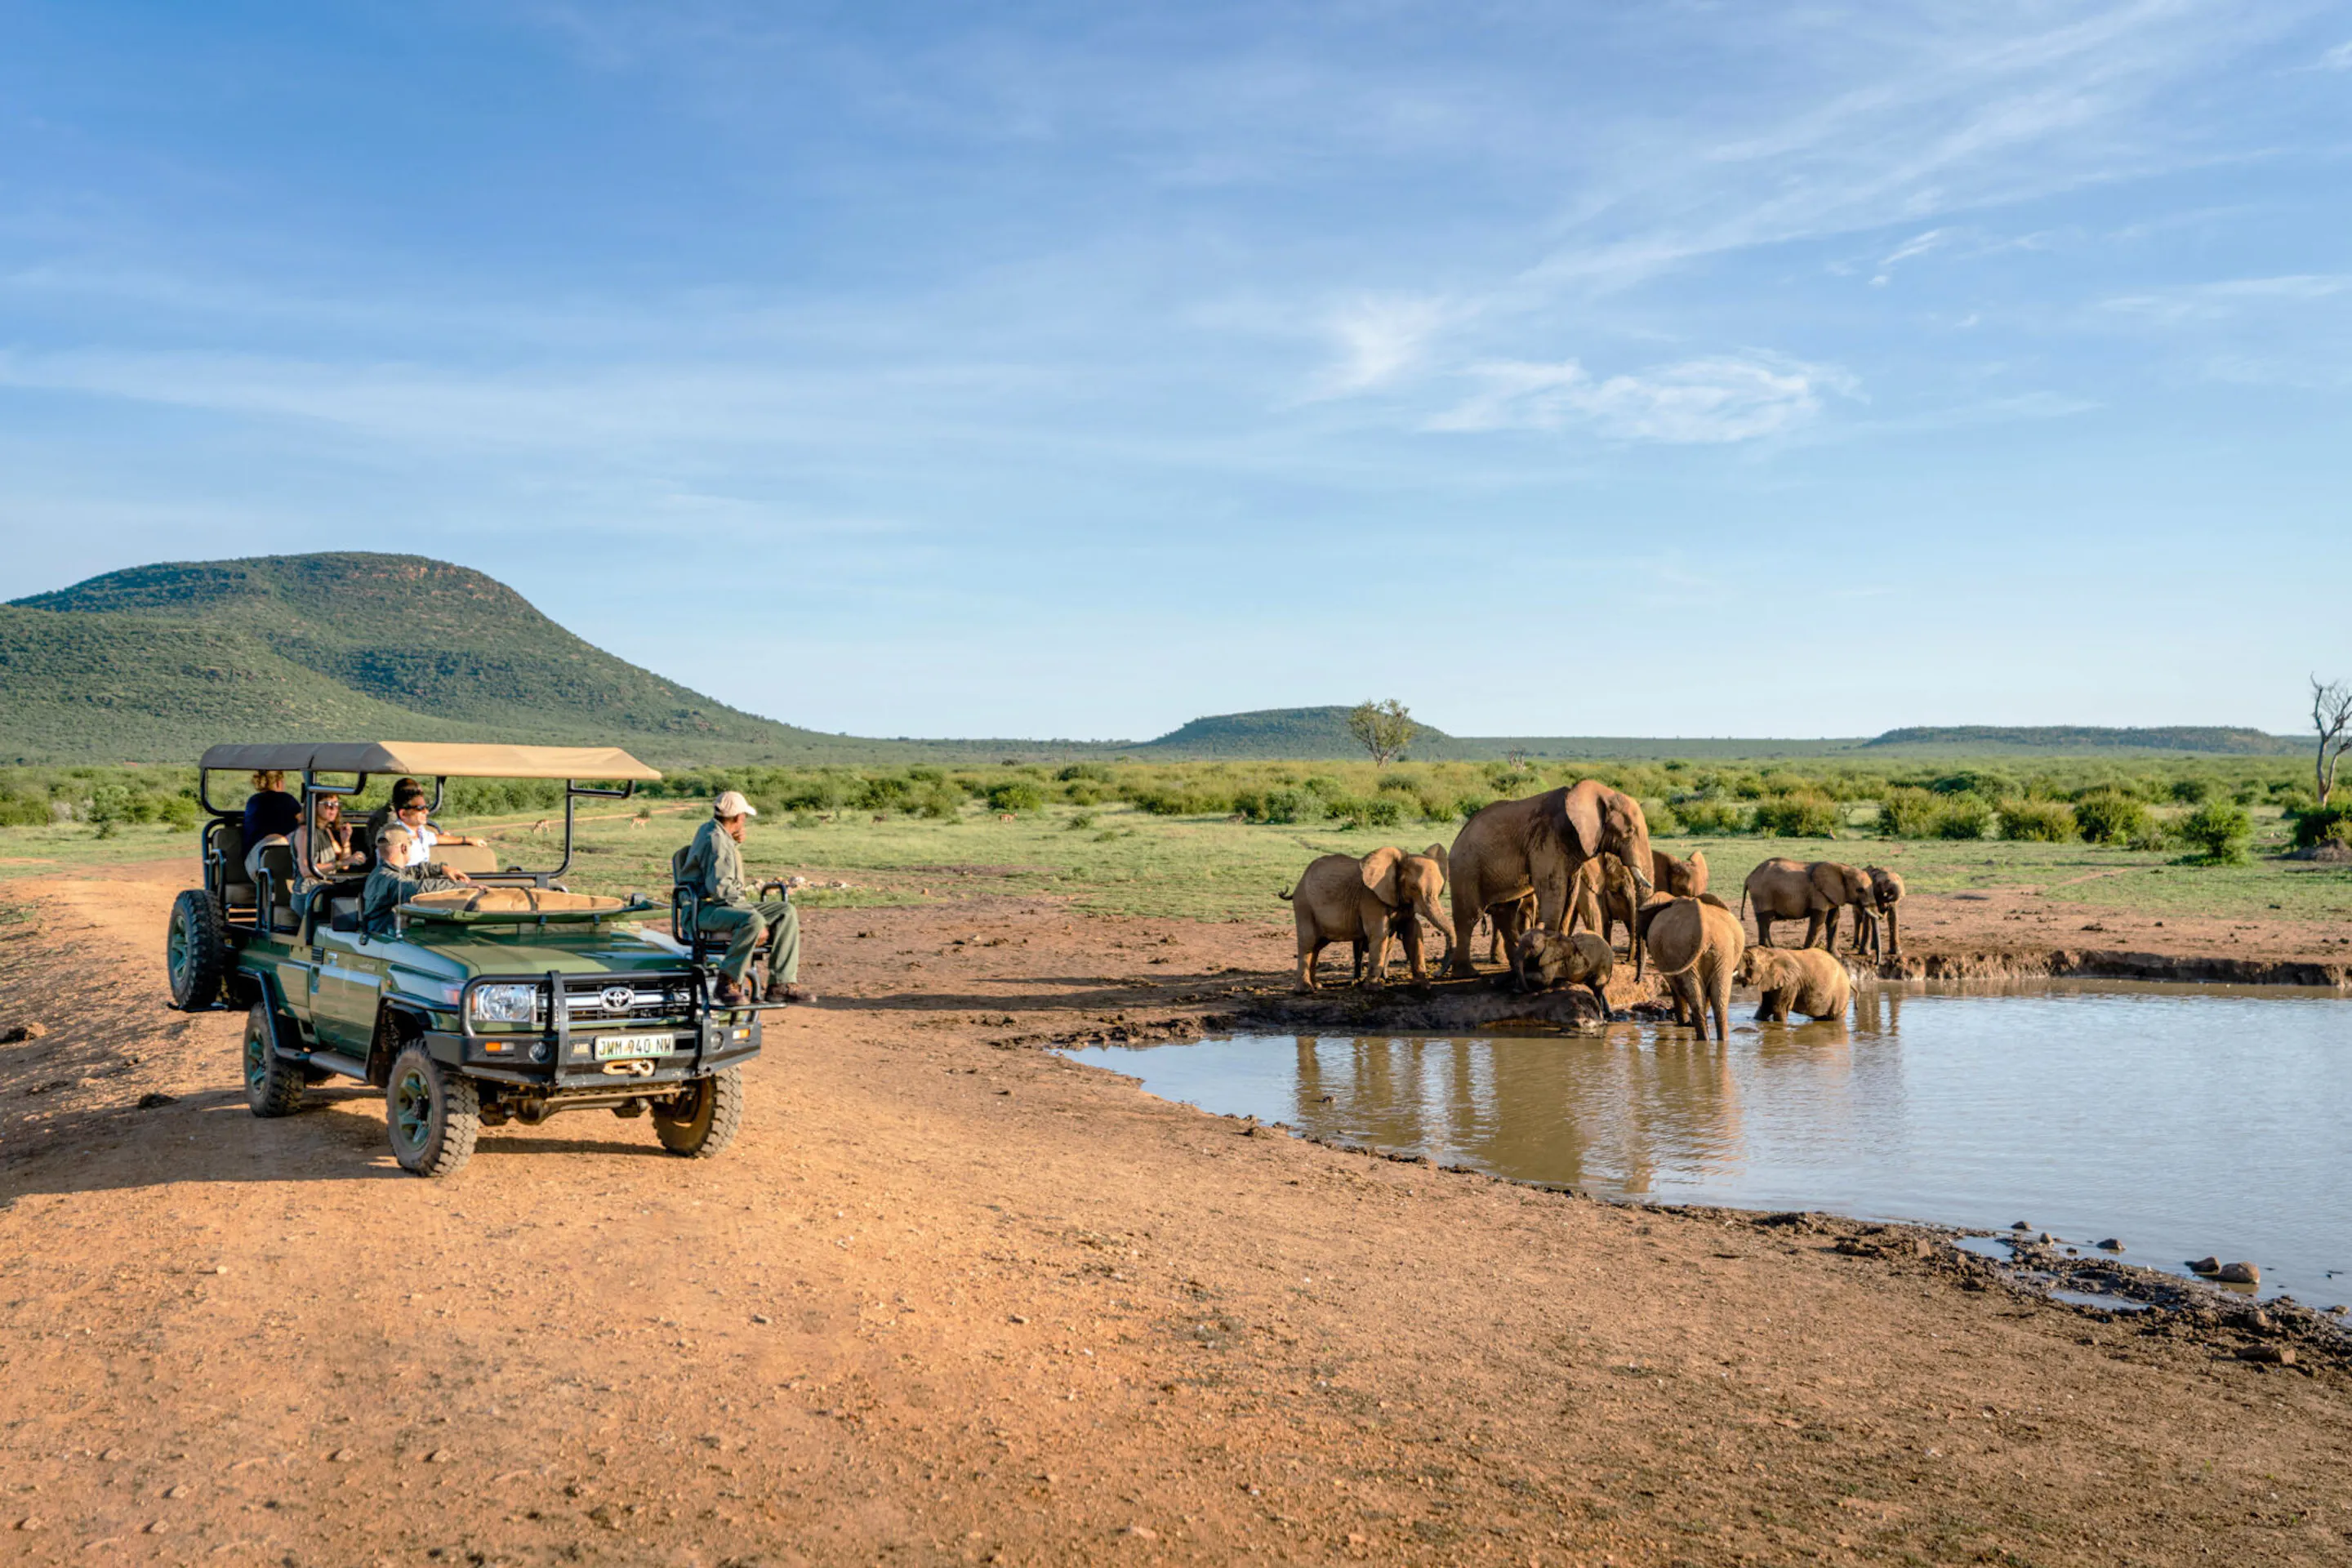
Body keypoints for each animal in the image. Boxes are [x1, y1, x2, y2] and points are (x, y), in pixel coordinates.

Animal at [1278, 844, 1456, 989]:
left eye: (1441, 890)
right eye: (1413, 887)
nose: (1437, 974)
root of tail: (1298, 885)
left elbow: (1413, 932)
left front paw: (1424, 985)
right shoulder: (1370, 897)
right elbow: (1379, 933)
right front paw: (1374, 988)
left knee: (1316, 945)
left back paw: (1317, 985)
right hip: (1304, 905)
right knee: (1308, 941)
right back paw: (1306, 990)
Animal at [1445, 782, 1654, 978]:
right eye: (1629, 831)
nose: (1635, 976)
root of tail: (1459, 835)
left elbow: (1569, 895)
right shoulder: (1548, 839)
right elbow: (1553, 889)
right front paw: (1548, 966)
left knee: (1505, 913)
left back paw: (1515, 968)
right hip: (1465, 868)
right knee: (1469, 916)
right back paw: (1468, 974)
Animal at [1640, 895, 1744, 1042]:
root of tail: (1705, 930)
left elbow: (1677, 989)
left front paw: (1685, 1024)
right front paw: (1687, 1024)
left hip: (1689, 950)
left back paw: (1703, 1037)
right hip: (1722, 952)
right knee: (1718, 997)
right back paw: (1717, 1040)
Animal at [1736, 945, 1853, 1023]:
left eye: (1750, 962)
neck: (1770, 952)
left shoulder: (1790, 983)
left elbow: (1779, 1008)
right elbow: (1766, 1006)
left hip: (1841, 993)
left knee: (1835, 1016)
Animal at [1739, 858, 1873, 950]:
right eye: (1860, 890)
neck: (1842, 868)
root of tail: (1749, 877)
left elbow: (1833, 919)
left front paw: (1835, 956)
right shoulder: (1818, 893)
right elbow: (1819, 920)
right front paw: (1807, 951)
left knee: (1765, 921)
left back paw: (1772, 947)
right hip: (1762, 895)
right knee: (1765, 919)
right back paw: (1769, 948)